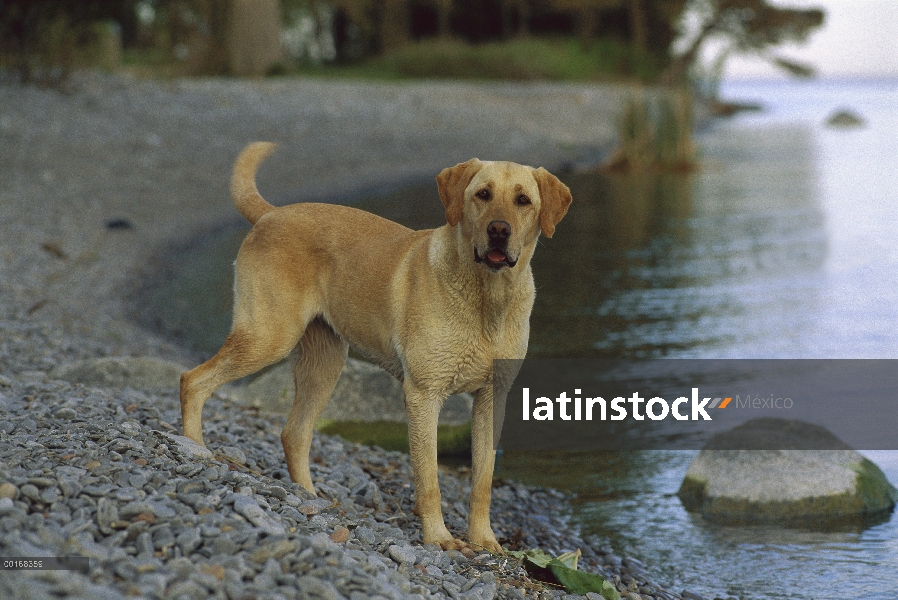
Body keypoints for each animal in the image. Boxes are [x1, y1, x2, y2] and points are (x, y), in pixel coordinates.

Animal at [181, 142, 572, 552]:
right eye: (482, 195)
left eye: (523, 200)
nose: (499, 230)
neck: (487, 298)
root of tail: (271, 214)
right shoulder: (423, 395)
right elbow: (429, 480)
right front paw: (439, 538)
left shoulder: (491, 399)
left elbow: (482, 481)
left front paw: (484, 540)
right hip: (267, 336)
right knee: (194, 381)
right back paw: (195, 448)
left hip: (325, 364)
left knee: (294, 433)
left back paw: (309, 497)